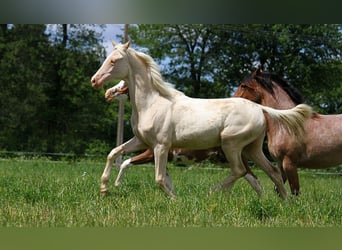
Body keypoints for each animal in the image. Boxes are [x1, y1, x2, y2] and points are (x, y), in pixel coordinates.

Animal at [91, 41, 312, 199]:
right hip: (252, 148)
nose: (95, 81)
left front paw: (176, 200)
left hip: (232, 145)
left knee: (240, 171)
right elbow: (114, 153)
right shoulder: (142, 141)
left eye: (114, 60)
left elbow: (160, 178)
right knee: (272, 172)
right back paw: (284, 203)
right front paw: (104, 189)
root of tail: (260, 107)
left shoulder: (160, 146)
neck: (152, 103)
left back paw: (211, 193)